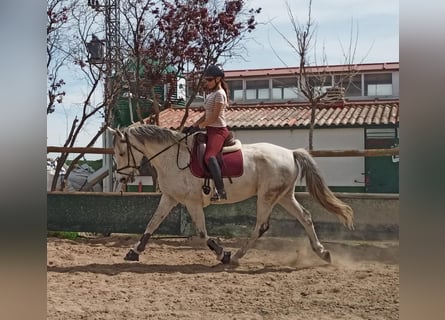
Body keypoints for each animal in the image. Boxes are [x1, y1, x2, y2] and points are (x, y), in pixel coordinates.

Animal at [109, 125, 352, 264]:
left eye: (120, 152)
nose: (121, 179)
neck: (172, 157)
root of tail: (291, 153)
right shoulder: (169, 198)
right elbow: (151, 224)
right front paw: (134, 251)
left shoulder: (192, 202)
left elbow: (202, 233)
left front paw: (222, 253)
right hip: (284, 196)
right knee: (305, 217)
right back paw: (322, 253)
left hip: (266, 197)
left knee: (261, 226)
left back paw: (236, 256)